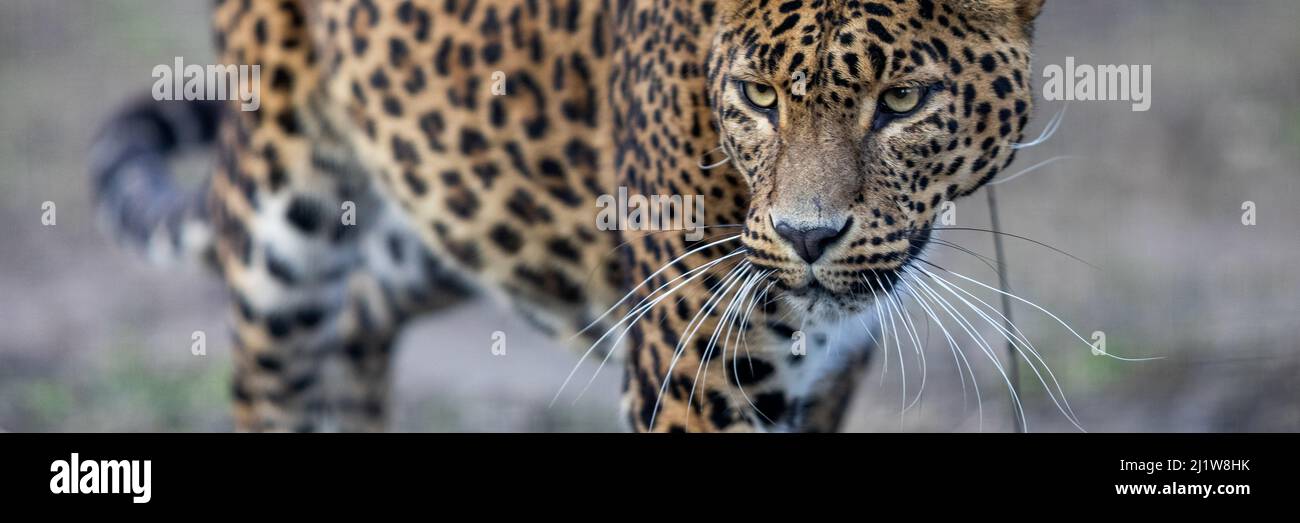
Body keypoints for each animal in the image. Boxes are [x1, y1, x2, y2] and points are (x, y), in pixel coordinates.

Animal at [90, 0, 1046, 432]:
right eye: (758, 96)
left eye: (904, 101)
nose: (807, 238)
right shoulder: (692, 382)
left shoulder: (824, 384)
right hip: (283, 229)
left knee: (361, 318)